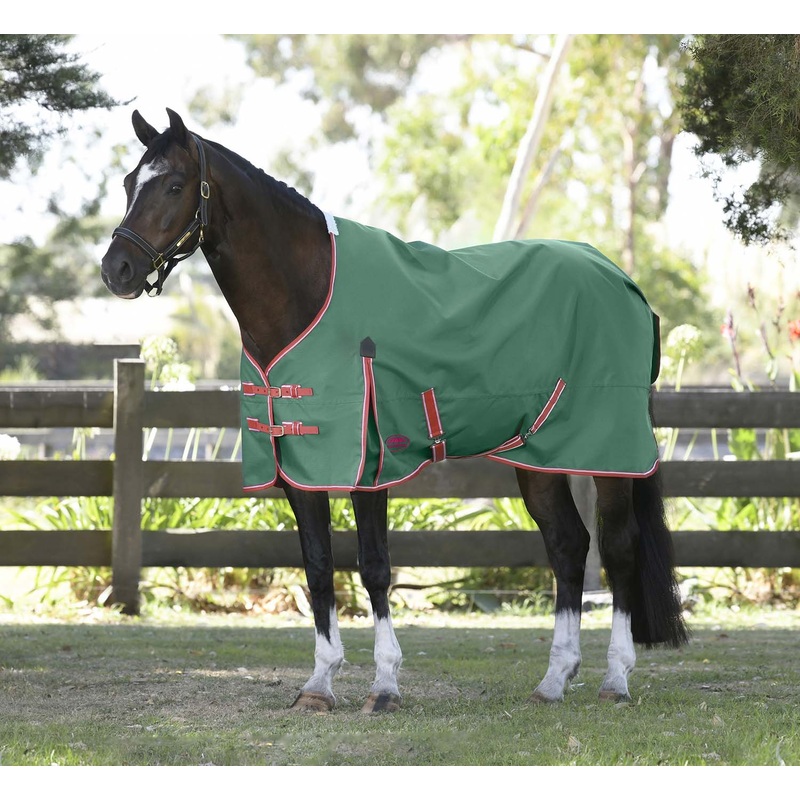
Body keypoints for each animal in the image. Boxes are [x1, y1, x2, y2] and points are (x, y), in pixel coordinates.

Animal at [100, 108, 688, 713]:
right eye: (128, 183)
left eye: (174, 185)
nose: (116, 269)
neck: (309, 298)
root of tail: (622, 280)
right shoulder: (300, 469)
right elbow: (318, 567)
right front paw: (319, 684)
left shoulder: (368, 467)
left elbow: (374, 569)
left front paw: (383, 685)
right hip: (538, 456)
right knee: (568, 547)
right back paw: (553, 680)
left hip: (608, 453)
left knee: (618, 550)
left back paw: (615, 679)